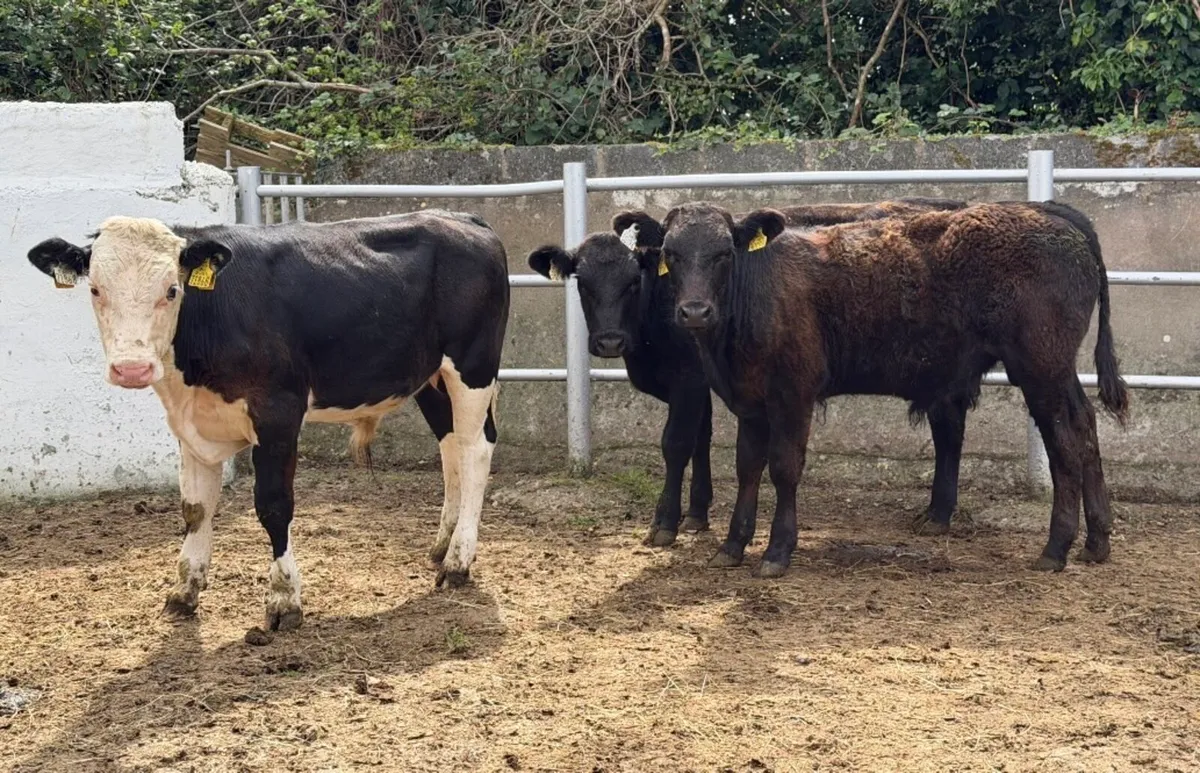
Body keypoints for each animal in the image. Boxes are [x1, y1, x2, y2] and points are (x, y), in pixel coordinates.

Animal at [27, 211, 509, 632]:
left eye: (171, 290)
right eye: (96, 290)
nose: (132, 369)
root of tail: (461, 218)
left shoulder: (278, 412)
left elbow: (274, 506)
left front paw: (283, 600)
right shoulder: (190, 424)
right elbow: (195, 508)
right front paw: (184, 591)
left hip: (472, 366)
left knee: (475, 450)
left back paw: (459, 562)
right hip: (430, 376)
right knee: (451, 448)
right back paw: (442, 545)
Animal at [526, 198, 965, 548]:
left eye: (634, 281)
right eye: (583, 283)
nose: (610, 341)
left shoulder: (689, 380)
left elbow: (676, 443)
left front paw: (665, 521)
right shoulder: (707, 382)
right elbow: (702, 439)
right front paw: (697, 513)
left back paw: (939, 513)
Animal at [628, 200, 1127, 577]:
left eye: (723, 253)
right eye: (671, 254)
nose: (695, 311)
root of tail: (1051, 214)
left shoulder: (794, 394)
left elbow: (784, 468)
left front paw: (777, 551)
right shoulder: (749, 401)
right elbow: (748, 466)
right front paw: (732, 545)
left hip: (1041, 370)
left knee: (1064, 444)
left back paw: (1056, 548)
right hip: (1059, 373)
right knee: (1086, 428)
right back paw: (1097, 540)